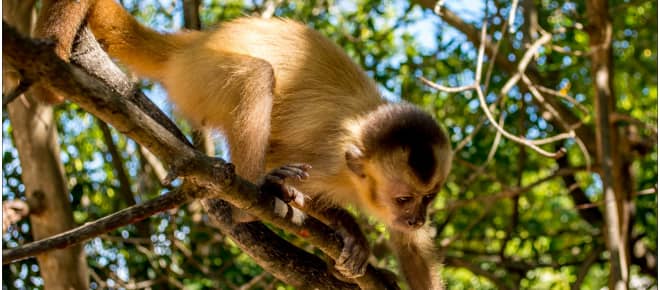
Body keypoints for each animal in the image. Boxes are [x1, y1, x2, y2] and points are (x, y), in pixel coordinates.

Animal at [33, 0, 454, 288]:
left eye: (428, 199)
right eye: (403, 199)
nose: (417, 216)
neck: (355, 174)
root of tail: (191, 45)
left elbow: (411, 244)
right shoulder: (330, 161)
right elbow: (297, 174)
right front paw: (350, 231)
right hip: (200, 78)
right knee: (256, 76)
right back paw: (255, 196)